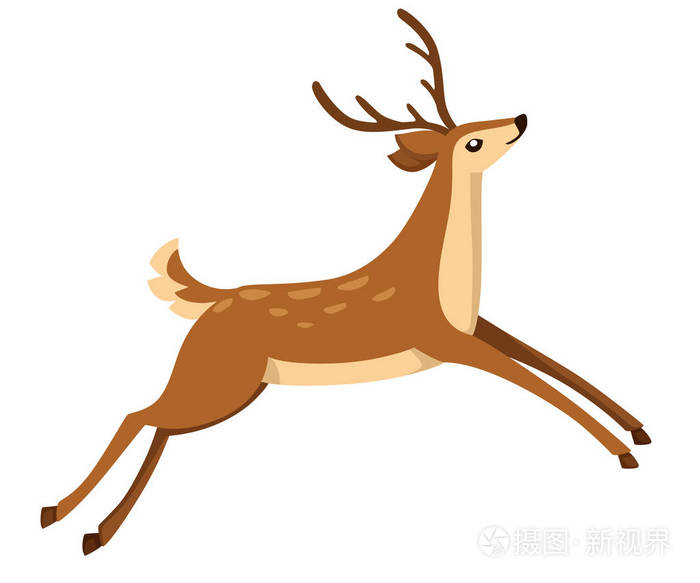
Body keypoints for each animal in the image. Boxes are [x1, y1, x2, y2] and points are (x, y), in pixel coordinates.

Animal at [41, 9, 650, 555]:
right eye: (472, 143)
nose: (520, 118)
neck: (440, 282)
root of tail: (208, 302)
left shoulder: (477, 325)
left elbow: (551, 363)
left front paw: (638, 429)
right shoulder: (440, 337)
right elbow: (536, 382)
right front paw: (622, 453)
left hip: (233, 385)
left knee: (160, 426)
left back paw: (91, 528)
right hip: (216, 375)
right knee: (137, 414)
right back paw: (64, 515)